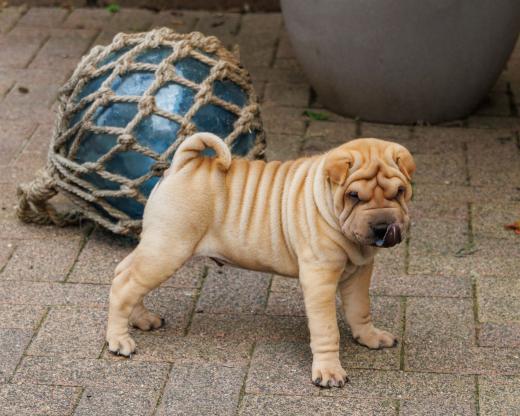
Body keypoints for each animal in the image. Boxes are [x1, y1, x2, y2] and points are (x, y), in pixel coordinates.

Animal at [106, 132, 415, 388]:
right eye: (353, 196)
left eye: (399, 192)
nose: (382, 227)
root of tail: (185, 163)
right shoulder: (320, 279)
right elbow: (327, 328)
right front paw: (329, 371)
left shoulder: (360, 272)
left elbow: (360, 309)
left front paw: (370, 337)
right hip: (168, 248)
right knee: (125, 285)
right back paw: (119, 340)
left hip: (157, 245)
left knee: (124, 273)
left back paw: (142, 319)